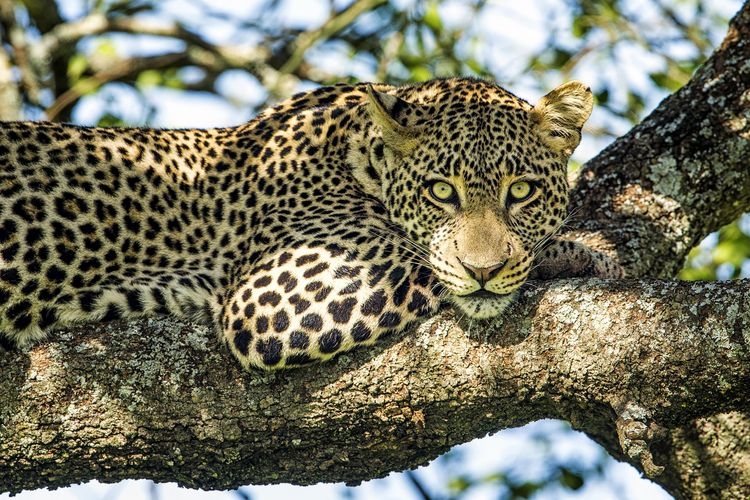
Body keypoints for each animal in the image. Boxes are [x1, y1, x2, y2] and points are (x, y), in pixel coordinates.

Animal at [0, 77, 622, 370]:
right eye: (441, 192)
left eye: (521, 191)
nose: (485, 272)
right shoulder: (276, 292)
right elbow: (428, 261)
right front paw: (584, 254)